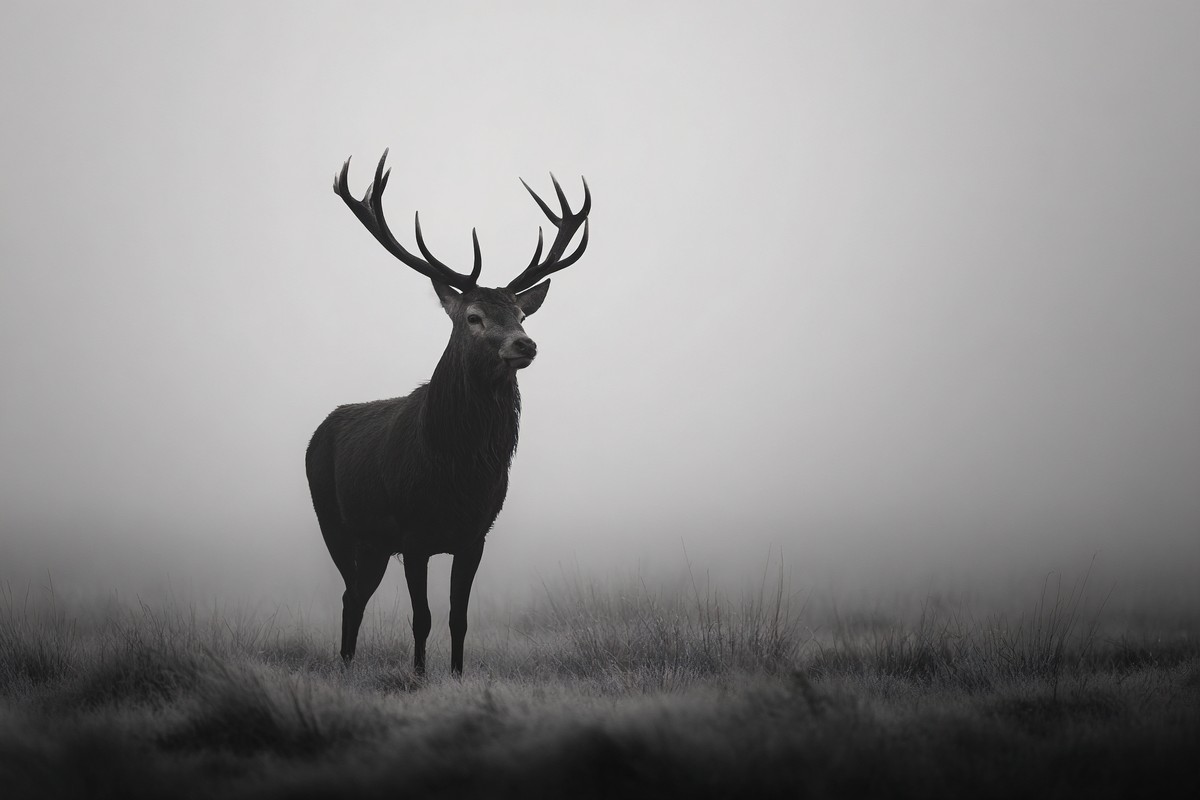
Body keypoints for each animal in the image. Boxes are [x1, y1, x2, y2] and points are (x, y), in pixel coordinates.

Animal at [306, 149, 591, 676]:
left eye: (522, 315)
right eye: (473, 317)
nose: (526, 344)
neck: (455, 469)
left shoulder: (475, 534)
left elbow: (460, 616)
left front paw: (457, 675)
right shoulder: (414, 533)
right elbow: (422, 617)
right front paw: (419, 676)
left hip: (375, 543)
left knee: (356, 595)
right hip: (333, 520)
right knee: (350, 594)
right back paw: (346, 664)